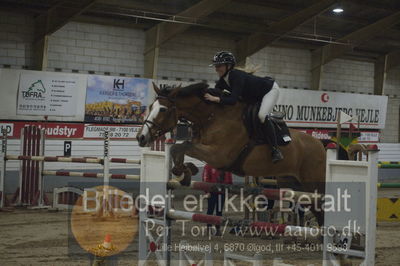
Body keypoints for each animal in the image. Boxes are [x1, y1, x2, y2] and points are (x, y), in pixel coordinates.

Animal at [136, 84, 326, 221]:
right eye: (151, 106)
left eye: (162, 109)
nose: (141, 137)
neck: (212, 117)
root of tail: (320, 145)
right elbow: (182, 148)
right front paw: (187, 171)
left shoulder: (219, 156)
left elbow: (183, 146)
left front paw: (184, 172)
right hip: (293, 183)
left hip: (313, 183)